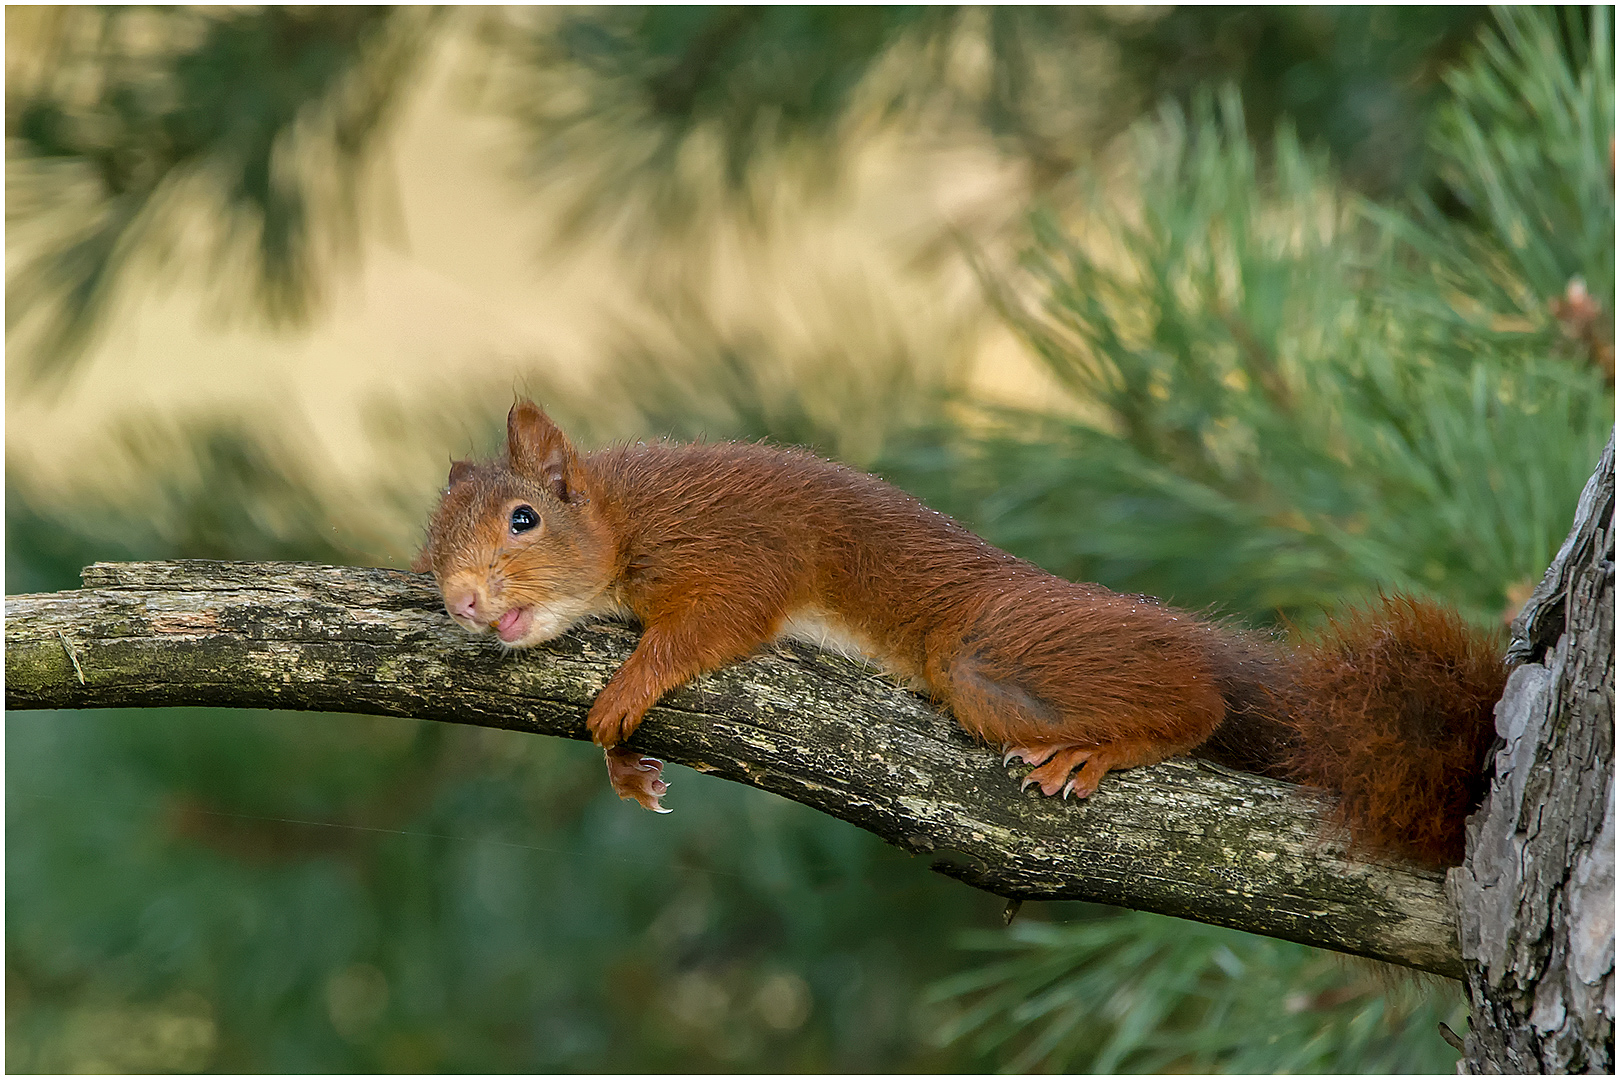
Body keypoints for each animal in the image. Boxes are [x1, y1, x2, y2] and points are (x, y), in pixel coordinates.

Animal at [414, 401, 1503, 867]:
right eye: (428, 549)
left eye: (524, 519)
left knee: (1196, 701)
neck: (626, 515)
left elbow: (709, 627)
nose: (463, 599)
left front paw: (628, 693)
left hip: (993, 649)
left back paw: (1099, 746)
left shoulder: (734, 551)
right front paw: (627, 767)